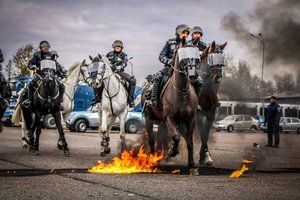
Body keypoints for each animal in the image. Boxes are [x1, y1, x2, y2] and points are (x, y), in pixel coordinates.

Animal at [141, 38, 199, 166]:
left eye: (196, 56)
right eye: (183, 56)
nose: (193, 75)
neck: (182, 93)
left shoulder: (190, 120)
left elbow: (189, 141)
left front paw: (191, 162)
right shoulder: (170, 119)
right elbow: (176, 137)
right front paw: (173, 151)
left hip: (166, 122)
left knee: (162, 137)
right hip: (149, 117)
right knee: (152, 139)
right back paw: (153, 157)